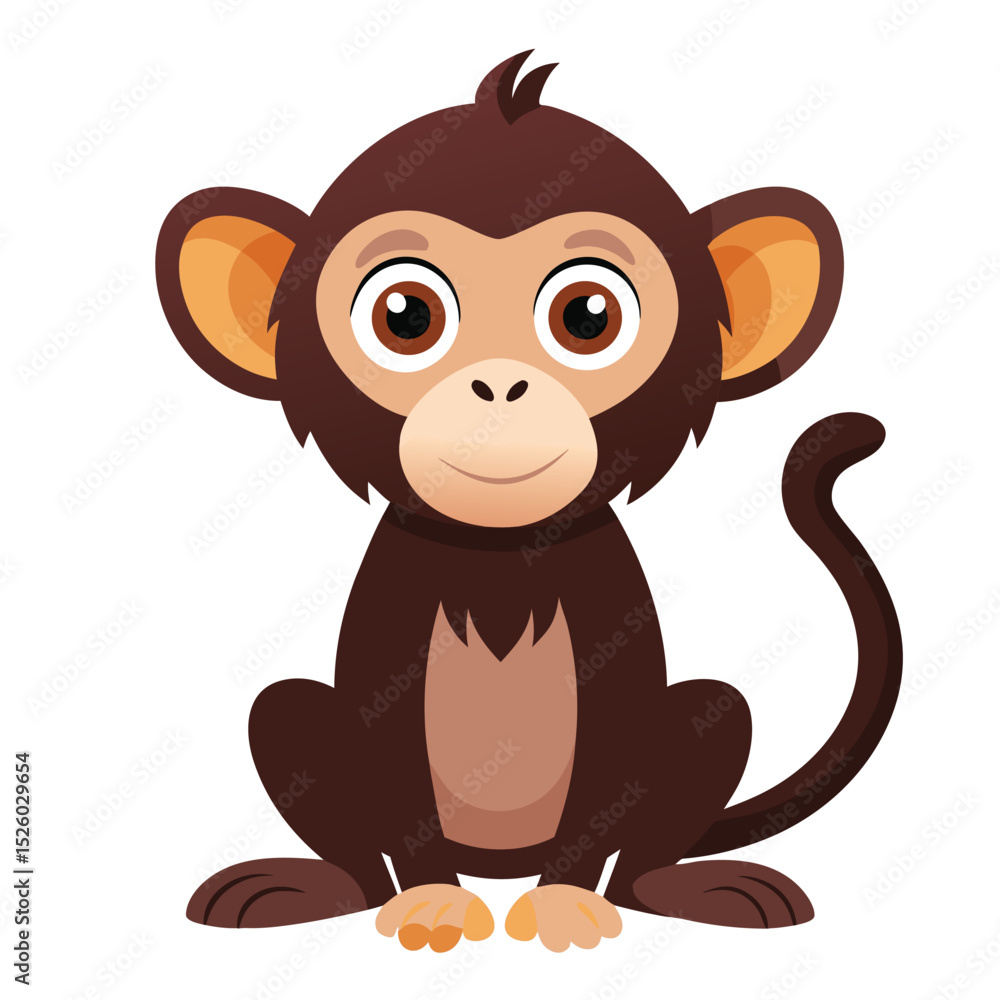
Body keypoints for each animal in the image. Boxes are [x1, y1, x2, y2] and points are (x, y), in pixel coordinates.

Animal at [155, 51, 902, 952]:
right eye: (405, 315)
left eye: (588, 315)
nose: (499, 387)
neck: (501, 556)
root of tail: (501, 863)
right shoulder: (396, 602)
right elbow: (386, 745)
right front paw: (429, 900)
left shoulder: (605, 599)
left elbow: (615, 743)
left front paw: (567, 901)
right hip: (309, 741)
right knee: (290, 721)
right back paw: (325, 886)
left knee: (705, 728)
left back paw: (673, 885)